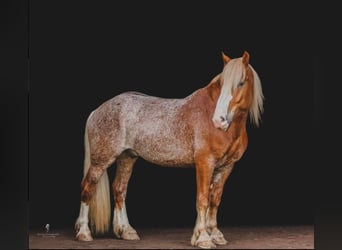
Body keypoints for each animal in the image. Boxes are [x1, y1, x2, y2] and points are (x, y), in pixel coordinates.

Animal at [73, 50, 264, 248]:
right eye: (222, 84)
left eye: (241, 82)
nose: (219, 121)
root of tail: (96, 111)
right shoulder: (205, 163)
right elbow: (203, 199)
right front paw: (203, 238)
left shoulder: (226, 167)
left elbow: (215, 200)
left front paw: (216, 235)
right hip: (101, 161)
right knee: (87, 188)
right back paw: (84, 232)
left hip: (127, 158)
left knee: (119, 189)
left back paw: (126, 231)